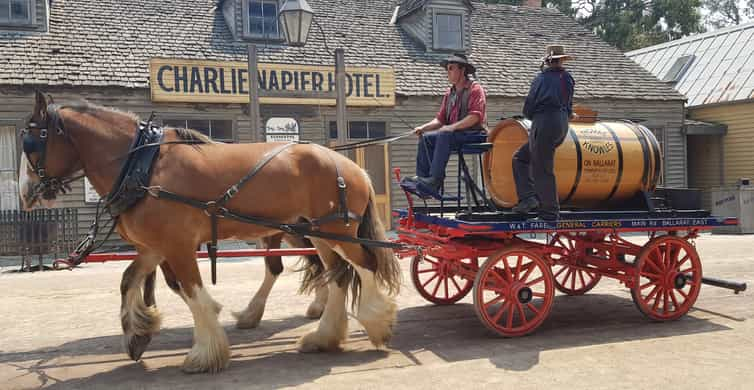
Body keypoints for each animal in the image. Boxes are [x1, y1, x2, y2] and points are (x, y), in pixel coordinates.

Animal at [19, 92, 400, 374]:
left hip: (336, 231)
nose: (25, 194)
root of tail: (352, 166)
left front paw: (205, 353)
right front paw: (138, 333)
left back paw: (376, 321)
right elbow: (130, 281)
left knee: (364, 267)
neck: (142, 166)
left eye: (31, 144)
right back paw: (323, 337)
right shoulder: (156, 246)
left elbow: (192, 293)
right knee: (337, 276)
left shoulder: (177, 245)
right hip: (317, 233)